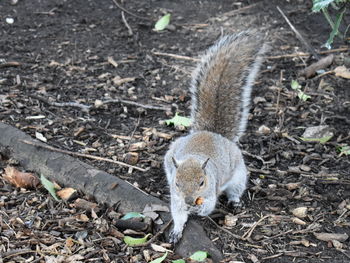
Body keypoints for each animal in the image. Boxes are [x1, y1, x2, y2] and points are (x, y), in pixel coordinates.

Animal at [164, 30, 268, 243]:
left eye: (202, 183)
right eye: (177, 183)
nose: (189, 200)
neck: (194, 158)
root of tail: (210, 132)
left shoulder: (211, 193)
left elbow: (208, 206)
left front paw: (199, 209)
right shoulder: (176, 197)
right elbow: (178, 214)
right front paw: (176, 230)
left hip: (238, 175)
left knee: (235, 190)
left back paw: (234, 201)